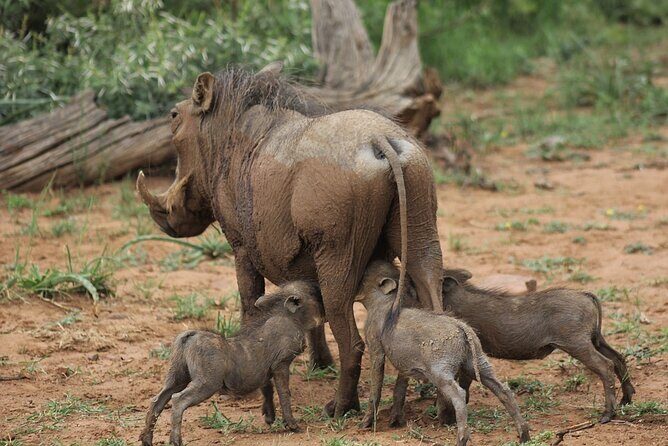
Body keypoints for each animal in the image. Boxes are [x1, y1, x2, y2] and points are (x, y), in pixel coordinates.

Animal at [136, 62, 444, 417]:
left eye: (174, 116)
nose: (165, 221)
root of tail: (379, 138)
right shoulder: (304, 263)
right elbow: (309, 309)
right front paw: (320, 365)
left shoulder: (242, 248)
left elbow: (250, 302)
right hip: (423, 232)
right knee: (437, 304)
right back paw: (437, 400)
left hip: (339, 256)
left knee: (352, 340)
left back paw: (340, 407)